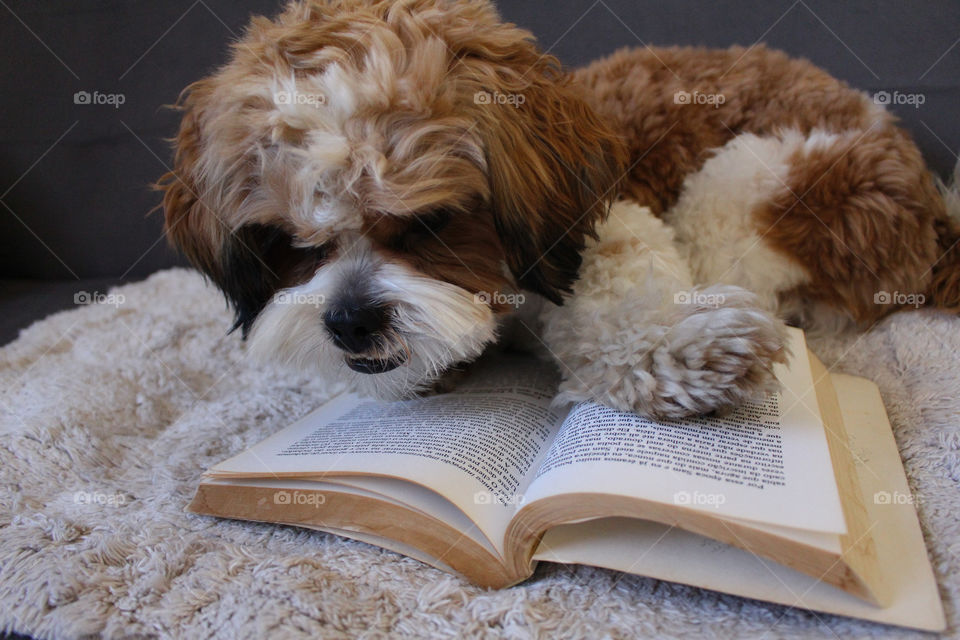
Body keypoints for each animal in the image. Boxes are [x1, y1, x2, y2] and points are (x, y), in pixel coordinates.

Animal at [158, 0, 960, 418]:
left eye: (428, 224)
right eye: (288, 242)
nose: (351, 320)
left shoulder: (607, 227)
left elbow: (625, 302)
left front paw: (680, 352)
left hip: (756, 182)